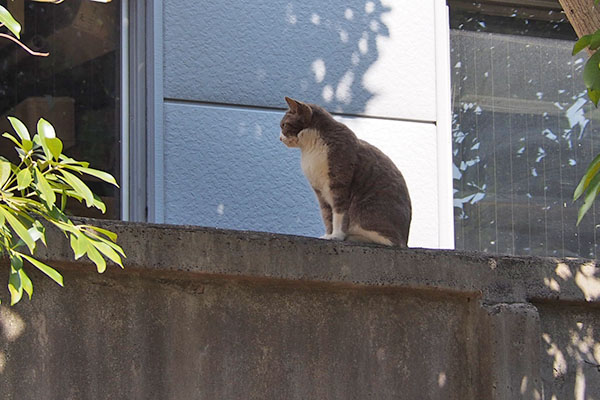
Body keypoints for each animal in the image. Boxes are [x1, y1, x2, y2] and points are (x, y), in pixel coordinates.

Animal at [280, 97, 412, 247]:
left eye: (284, 125)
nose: (279, 138)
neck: (310, 150)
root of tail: (405, 241)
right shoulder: (320, 191)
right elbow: (327, 215)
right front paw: (328, 235)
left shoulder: (339, 183)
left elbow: (338, 214)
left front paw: (336, 236)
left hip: (367, 211)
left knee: (387, 241)